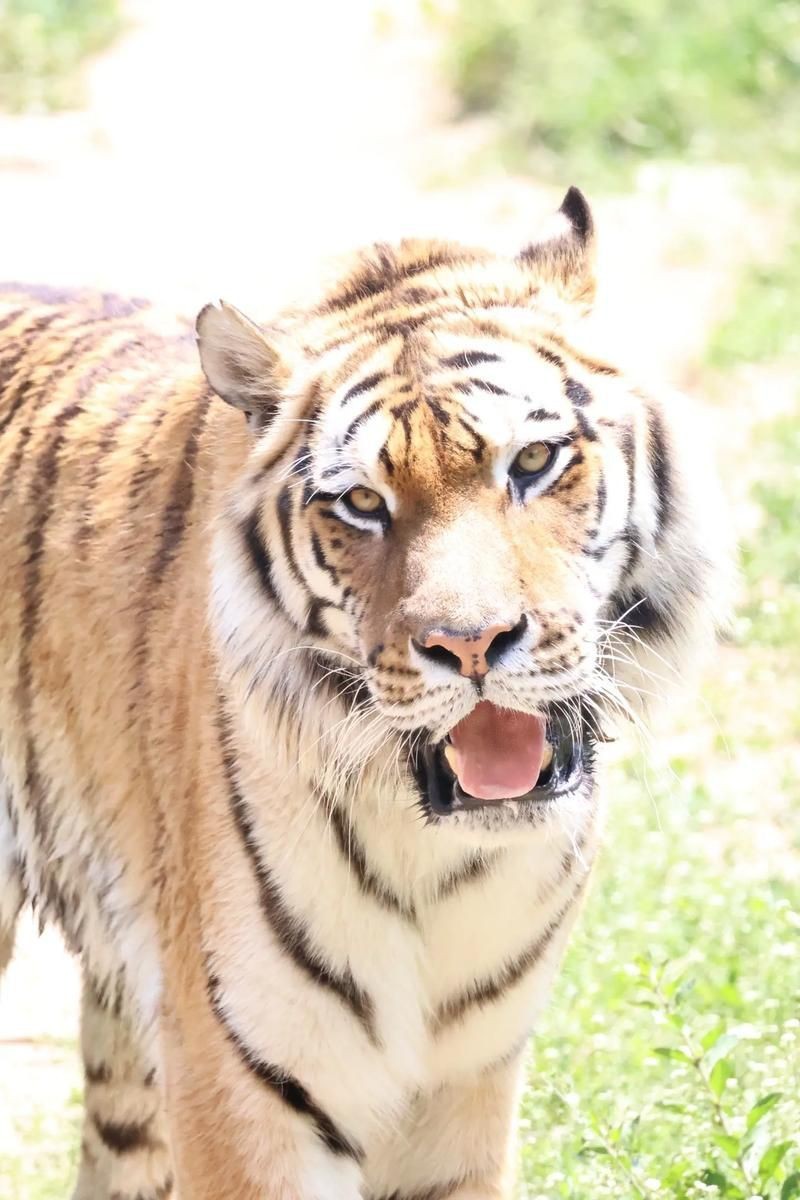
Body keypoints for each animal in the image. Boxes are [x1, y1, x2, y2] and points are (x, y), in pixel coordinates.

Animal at [0, 187, 727, 1200]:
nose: (471, 643)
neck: (444, 863)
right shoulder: (241, 1085)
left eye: (533, 462)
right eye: (362, 504)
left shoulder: (464, 1091)